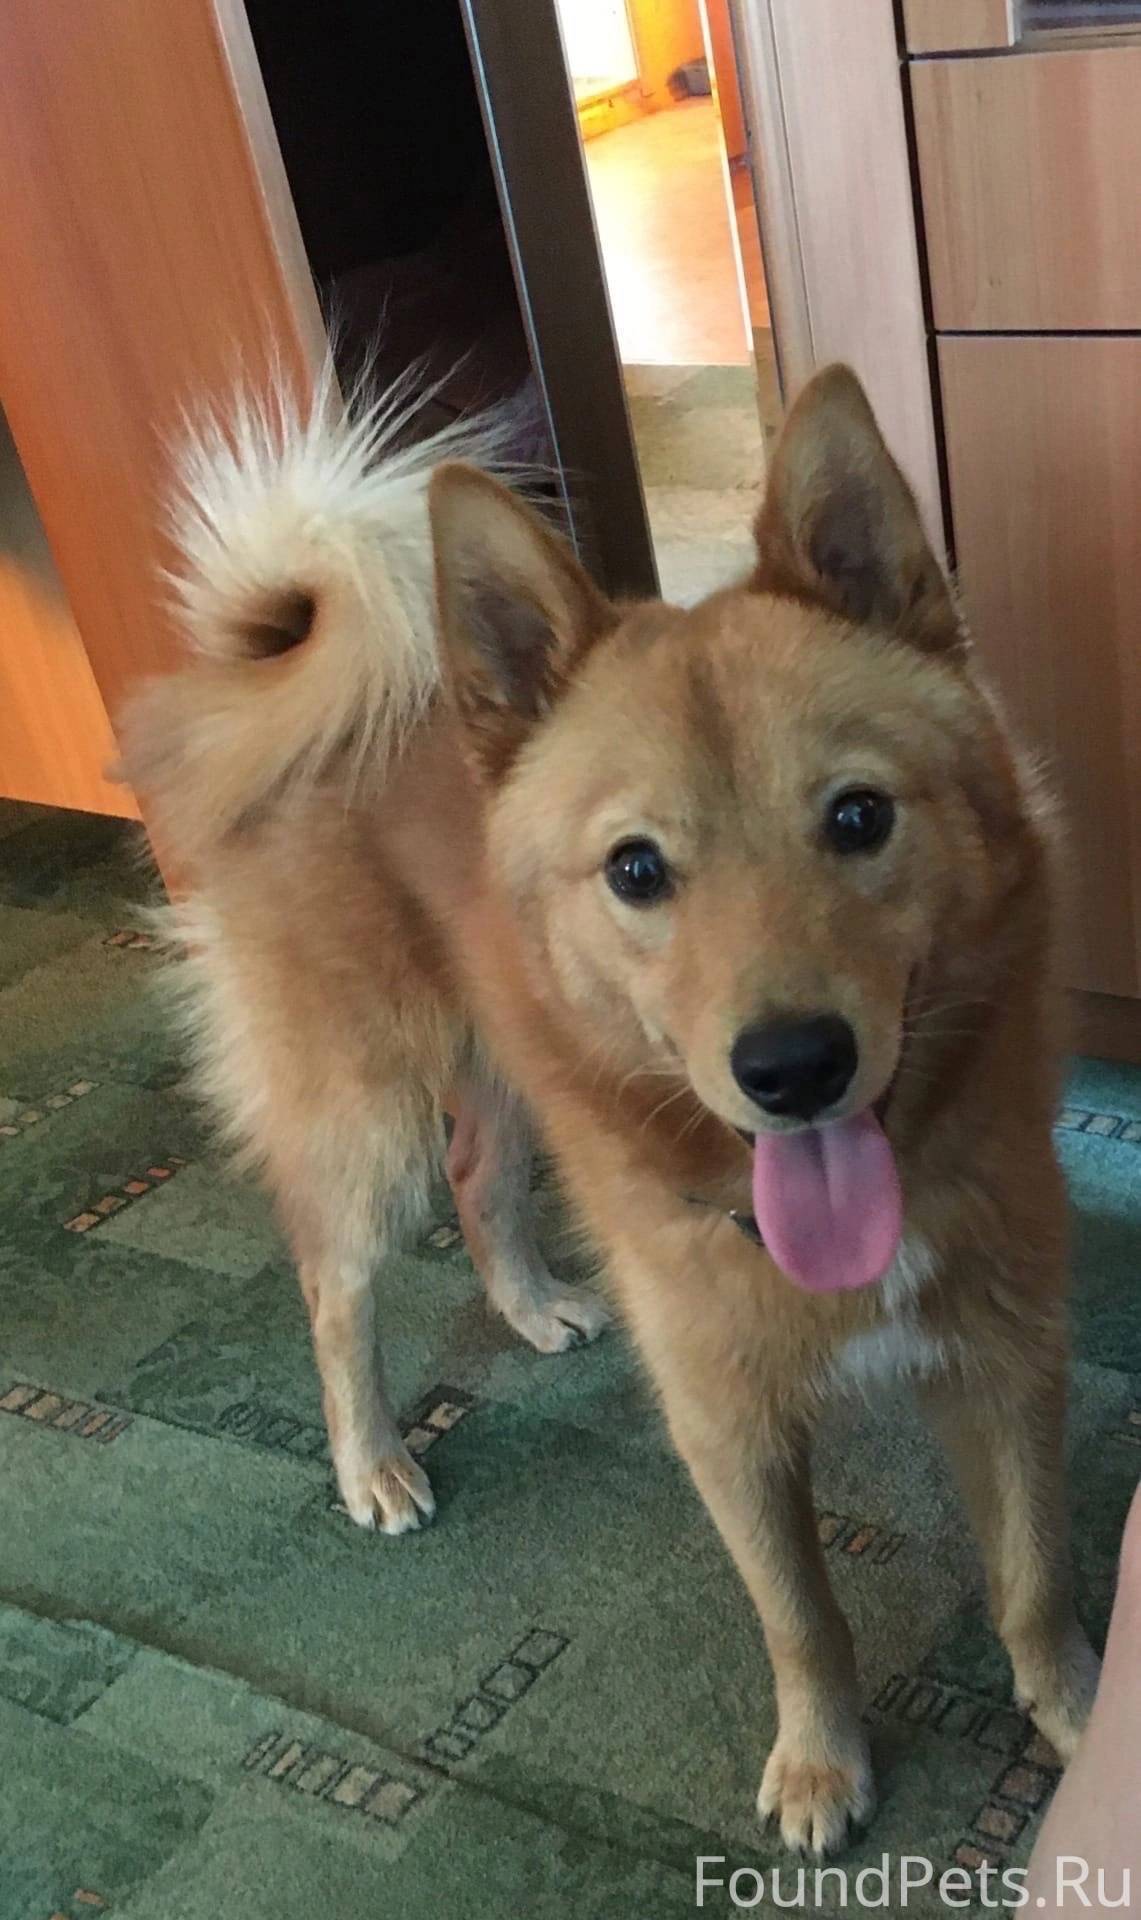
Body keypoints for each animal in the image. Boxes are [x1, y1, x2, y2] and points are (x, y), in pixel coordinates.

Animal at [122, 364, 1099, 1853]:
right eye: (636, 868)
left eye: (857, 817)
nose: (792, 1066)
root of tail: (299, 677)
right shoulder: (723, 1424)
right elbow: (801, 1617)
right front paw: (822, 1763)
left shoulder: (1007, 1359)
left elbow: (1033, 1576)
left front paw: (1082, 1719)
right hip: (367, 1111)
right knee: (334, 1288)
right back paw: (371, 1461)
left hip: (505, 1076)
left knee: (481, 1184)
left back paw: (529, 1306)